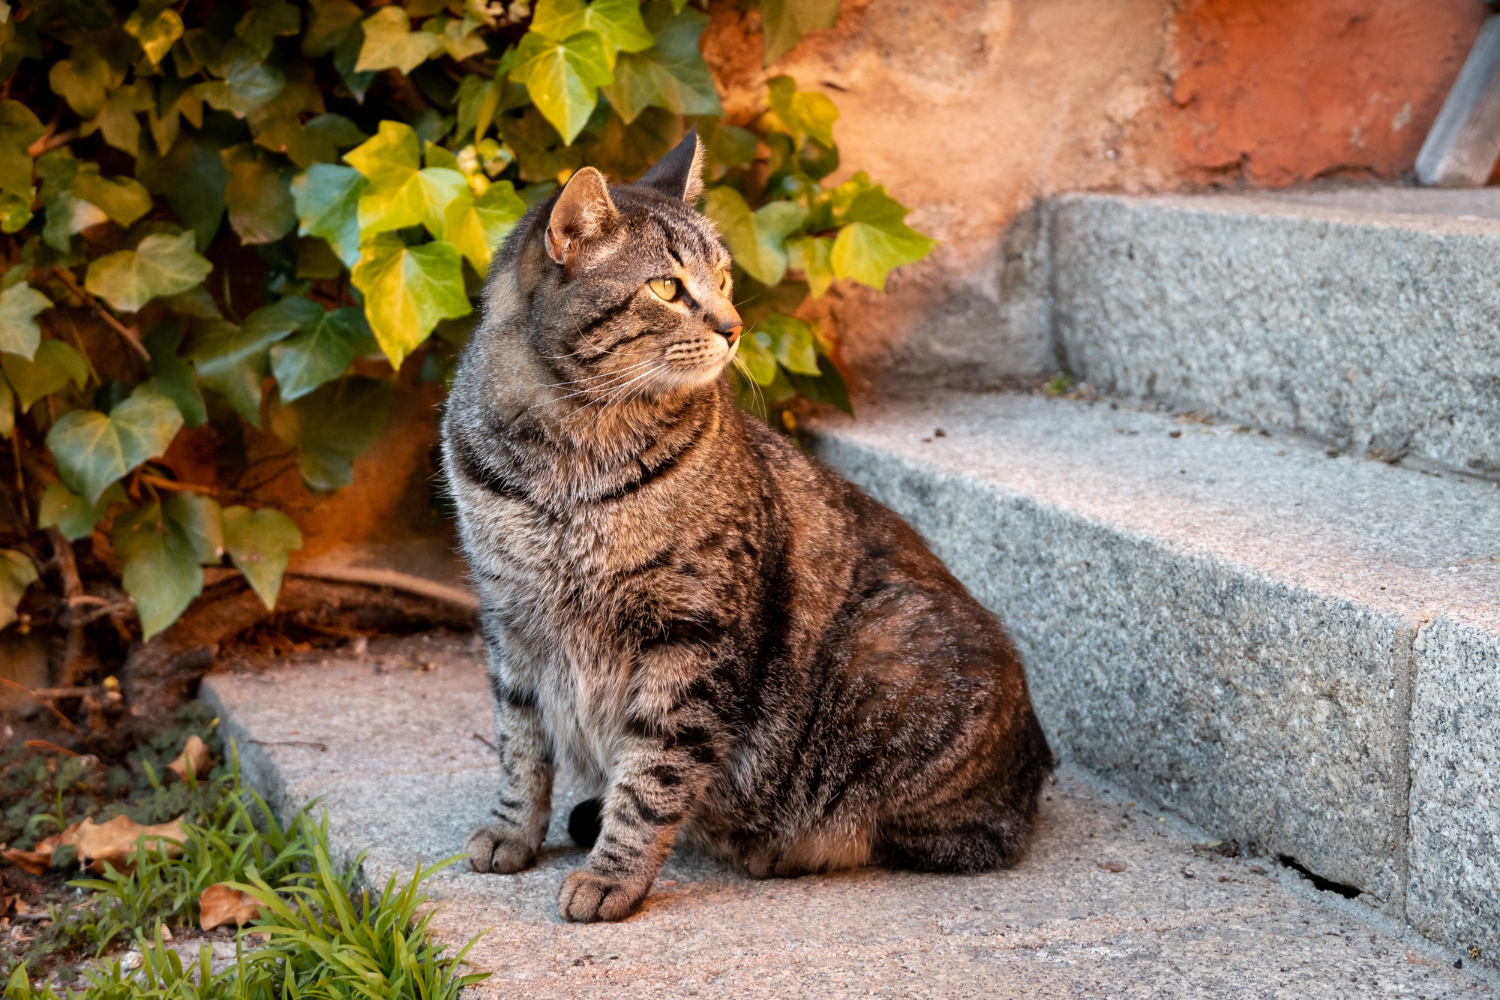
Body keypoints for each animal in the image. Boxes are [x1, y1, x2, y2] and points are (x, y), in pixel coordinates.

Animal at [438, 132, 1050, 923]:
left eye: (724, 278)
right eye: (667, 289)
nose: (733, 328)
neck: (570, 455)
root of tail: (1038, 759)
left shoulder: (693, 635)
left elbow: (654, 775)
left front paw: (612, 874)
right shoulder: (509, 621)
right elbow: (520, 747)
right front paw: (513, 831)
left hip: (886, 659)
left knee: (938, 835)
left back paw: (778, 845)